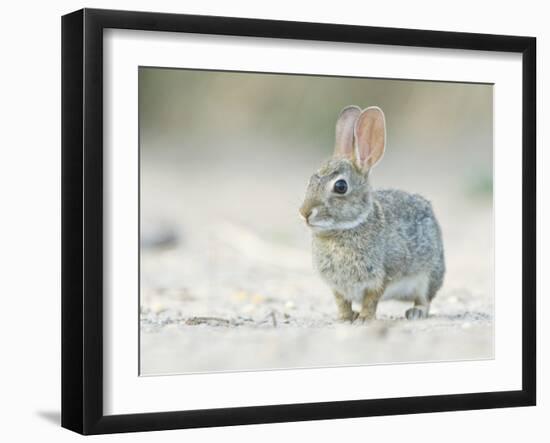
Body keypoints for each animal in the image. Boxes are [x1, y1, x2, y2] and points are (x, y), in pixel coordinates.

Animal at [300, 107, 446, 322]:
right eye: (310, 181)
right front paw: (345, 318)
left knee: (425, 299)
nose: (304, 212)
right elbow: (342, 303)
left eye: (341, 186)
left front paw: (364, 318)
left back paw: (415, 312)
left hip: (428, 276)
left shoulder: (380, 277)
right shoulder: (338, 288)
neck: (346, 229)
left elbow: (371, 299)